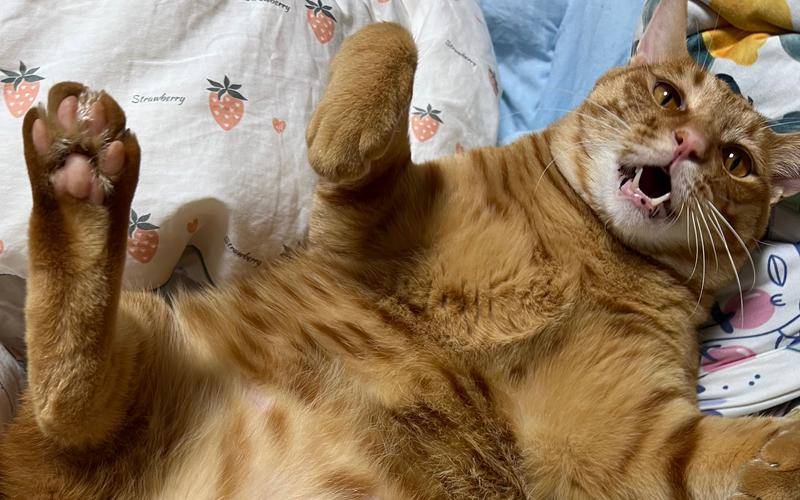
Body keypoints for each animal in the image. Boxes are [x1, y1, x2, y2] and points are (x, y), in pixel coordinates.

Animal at [2, 0, 800, 498]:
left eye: (737, 162)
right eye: (667, 96)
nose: (690, 145)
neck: (590, 248)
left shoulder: (637, 449)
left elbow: (738, 453)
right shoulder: (363, 221)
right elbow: (394, 38)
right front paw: (343, 130)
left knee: (74, 397)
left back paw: (84, 184)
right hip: (146, 332)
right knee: (67, 400)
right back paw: (80, 171)